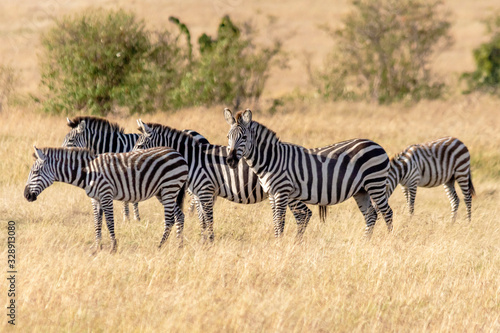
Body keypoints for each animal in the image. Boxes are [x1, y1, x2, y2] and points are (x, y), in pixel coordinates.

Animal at [23, 145, 188, 252]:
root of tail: (179, 154)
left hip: (169, 188)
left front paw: (113, 248)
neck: (88, 173)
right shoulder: (95, 199)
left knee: (170, 219)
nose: (26, 195)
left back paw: (160, 246)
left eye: (35, 172)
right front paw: (97, 247)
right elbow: (97, 222)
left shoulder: (106, 194)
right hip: (163, 192)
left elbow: (109, 222)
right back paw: (179, 246)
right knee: (180, 215)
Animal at [131, 119, 314, 241]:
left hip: (288, 192)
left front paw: (209, 243)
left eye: (139, 146)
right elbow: (203, 220)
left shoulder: (205, 190)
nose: (130, 161)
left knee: (304, 214)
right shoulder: (201, 194)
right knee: (304, 214)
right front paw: (204, 242)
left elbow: (208, 220)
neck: (193, 159)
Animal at [224, 108, 394, 236]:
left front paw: (278, 245)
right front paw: (277, 242)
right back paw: (366, 242)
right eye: (228, 137)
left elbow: (280, 221)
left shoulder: (281, 192)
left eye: (244, 137)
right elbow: (275, 222)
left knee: (387, 213)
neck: (271, 160)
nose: (230, 160)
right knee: (371, 215)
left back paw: (388, 241)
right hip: (361, 190)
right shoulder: (272, 194)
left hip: (375, 183)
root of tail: (377, 144)